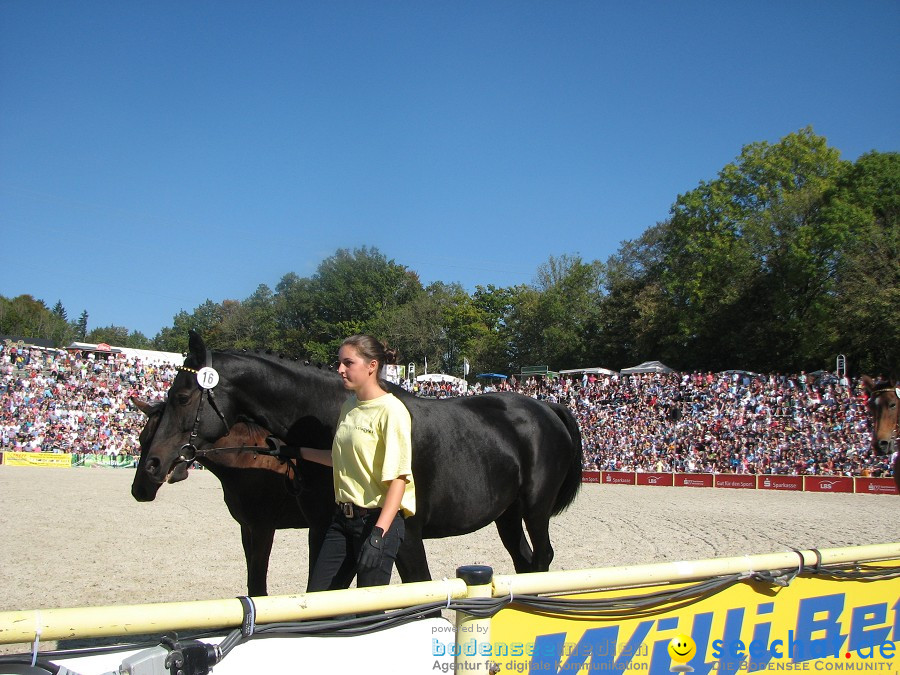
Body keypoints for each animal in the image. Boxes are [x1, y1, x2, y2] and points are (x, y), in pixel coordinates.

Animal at [130, 398, 330, 596]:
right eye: (142, 439)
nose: (139, 490)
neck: (247, 458)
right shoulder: (247, 528)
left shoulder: (263, 529)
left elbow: (257, 586)